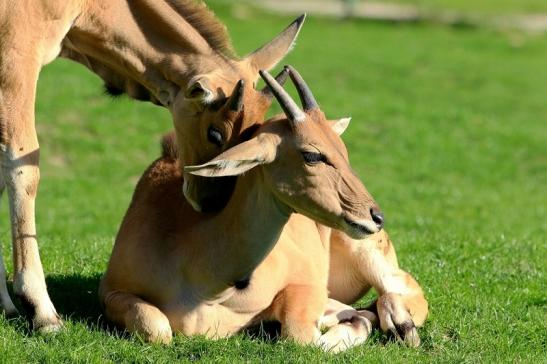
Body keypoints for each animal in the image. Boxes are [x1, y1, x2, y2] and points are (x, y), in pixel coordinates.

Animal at [0, 0, 304, 332]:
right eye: (215, 133)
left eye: (254, 132)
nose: (211, 202)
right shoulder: (17, 58)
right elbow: (22, 167)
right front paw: (41, 312)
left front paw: (6, 305)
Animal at [99, 67, 386, 352]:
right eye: (312, 155)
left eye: (343, 151)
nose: (376, 216)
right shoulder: (111, 289)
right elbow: (157, 327)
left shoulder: (306, 285)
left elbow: (304, 335)